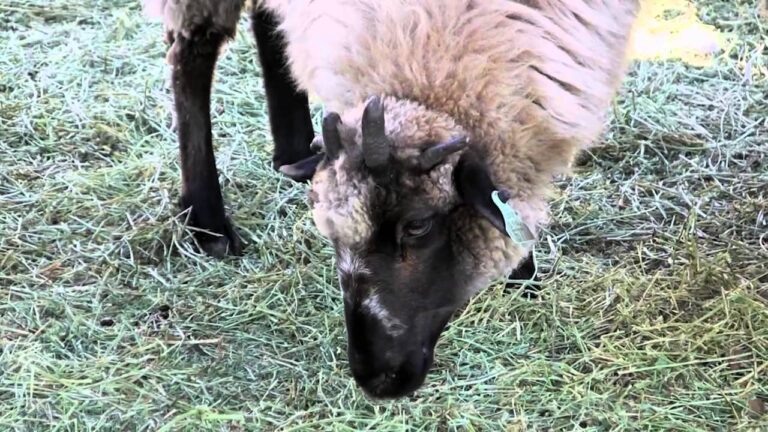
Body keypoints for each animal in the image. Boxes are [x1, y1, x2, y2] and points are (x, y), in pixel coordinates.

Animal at [145, 0, 640, 399]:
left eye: (417, 225)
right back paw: (209, 224)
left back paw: (293, 149)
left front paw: (524, 277)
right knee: (190, 50)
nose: (375, 380)